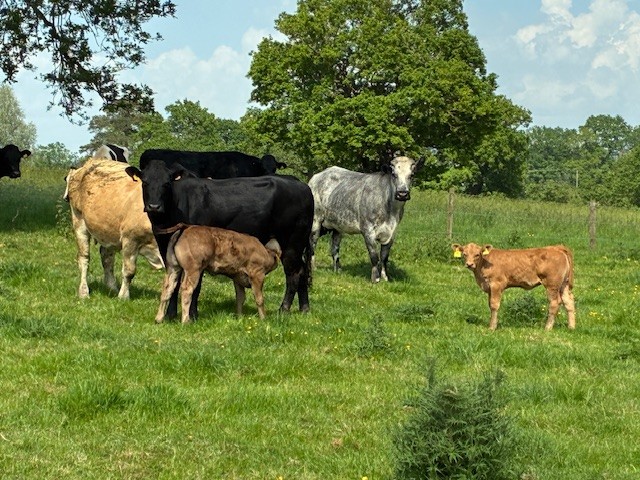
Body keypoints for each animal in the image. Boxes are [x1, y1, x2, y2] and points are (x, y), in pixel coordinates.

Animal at [64, 158, 164, 299]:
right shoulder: (130, 239)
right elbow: (129, 271)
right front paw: (123, 296)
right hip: (79, 221)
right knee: (84, 258)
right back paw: (83, 291)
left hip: (107, 230)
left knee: (107, 257)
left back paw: (111, 287)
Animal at [125, 160, 313, 320]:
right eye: (145, 182)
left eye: (167, 183)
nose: (154, 206)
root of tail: (301, 185)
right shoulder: (166, 249)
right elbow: (173, 283)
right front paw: (171, 315)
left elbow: (196, 286)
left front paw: (193, 315)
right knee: (303, 270)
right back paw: (304, 308)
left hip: (292, 243)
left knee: (294, 273)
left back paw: (284, 309)